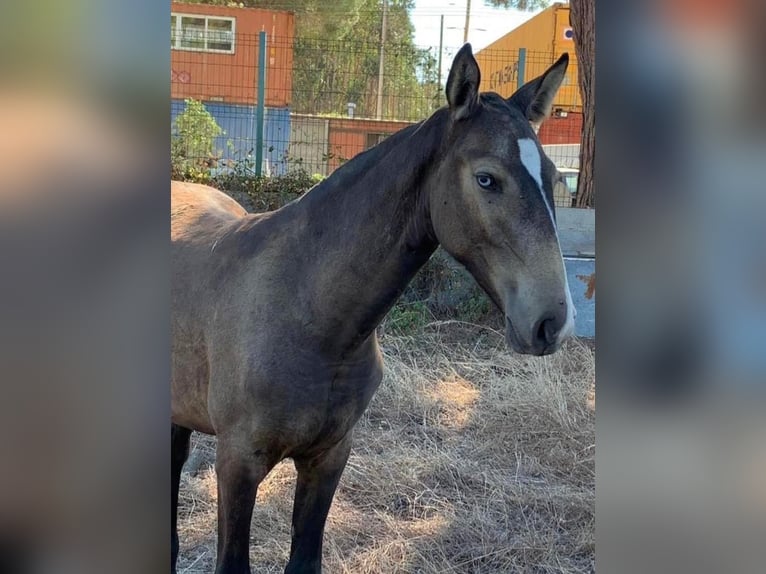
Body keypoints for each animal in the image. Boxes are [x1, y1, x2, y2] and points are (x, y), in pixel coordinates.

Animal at [171, 42, 572, 572]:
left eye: (552, 177)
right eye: (487, 179)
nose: (552, 322)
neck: (311, 313)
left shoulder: (329, 457)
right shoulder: (237, 462)